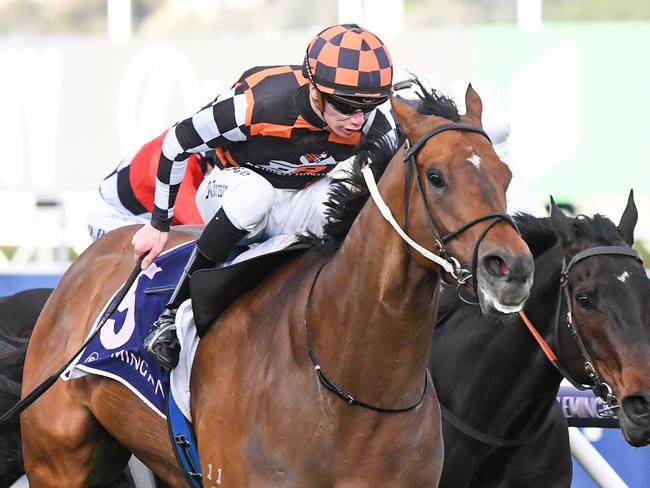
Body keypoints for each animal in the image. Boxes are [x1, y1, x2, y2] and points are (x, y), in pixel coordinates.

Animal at [22, 85, 536, 488]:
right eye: (436, 177)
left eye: (505, 175)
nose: (511, 268)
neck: (355, 391)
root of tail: (87, 261)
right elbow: (183, 138)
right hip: (55, 461)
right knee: (249, 197)